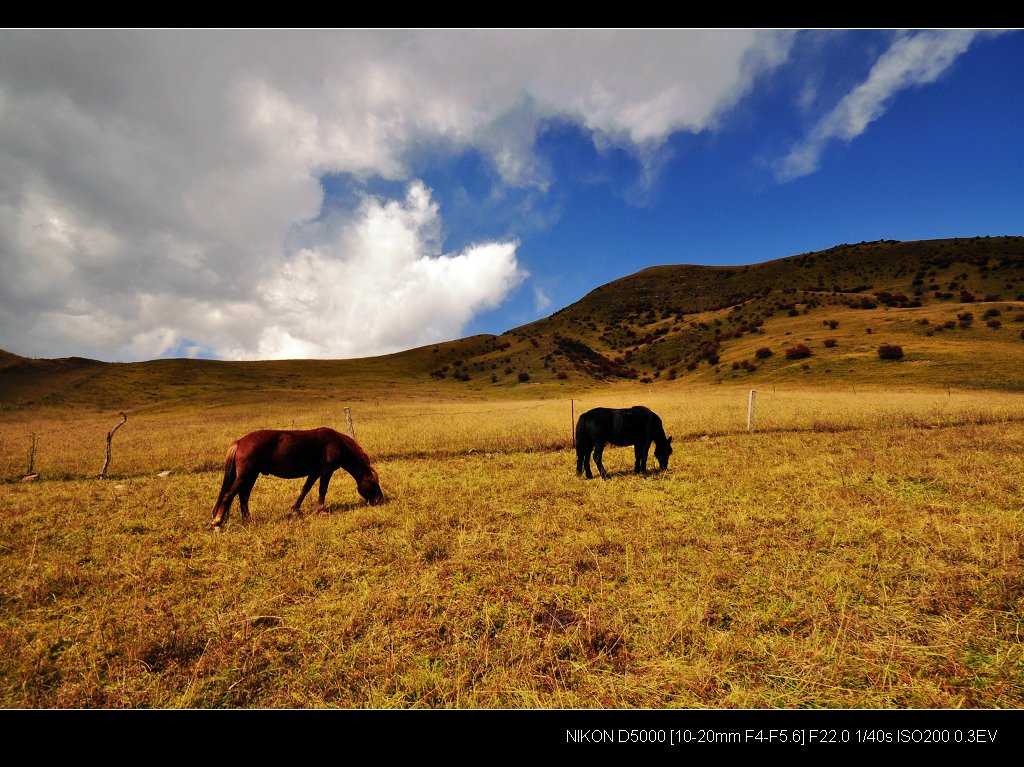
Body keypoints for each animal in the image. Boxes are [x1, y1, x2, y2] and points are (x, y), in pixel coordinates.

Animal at [209, 423, 385, 528]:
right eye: (374, 485)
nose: (380, 501)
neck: (338, 443)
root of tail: (240, 441)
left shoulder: (315, 472)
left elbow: (305, 489)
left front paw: (295, 509)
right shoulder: (326, 471)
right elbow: (322, 490)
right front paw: (321, 510)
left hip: (251, 476)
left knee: (243, 496)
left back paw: (248, 520)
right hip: (246, 476)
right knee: (230, 495)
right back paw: (217, 522)